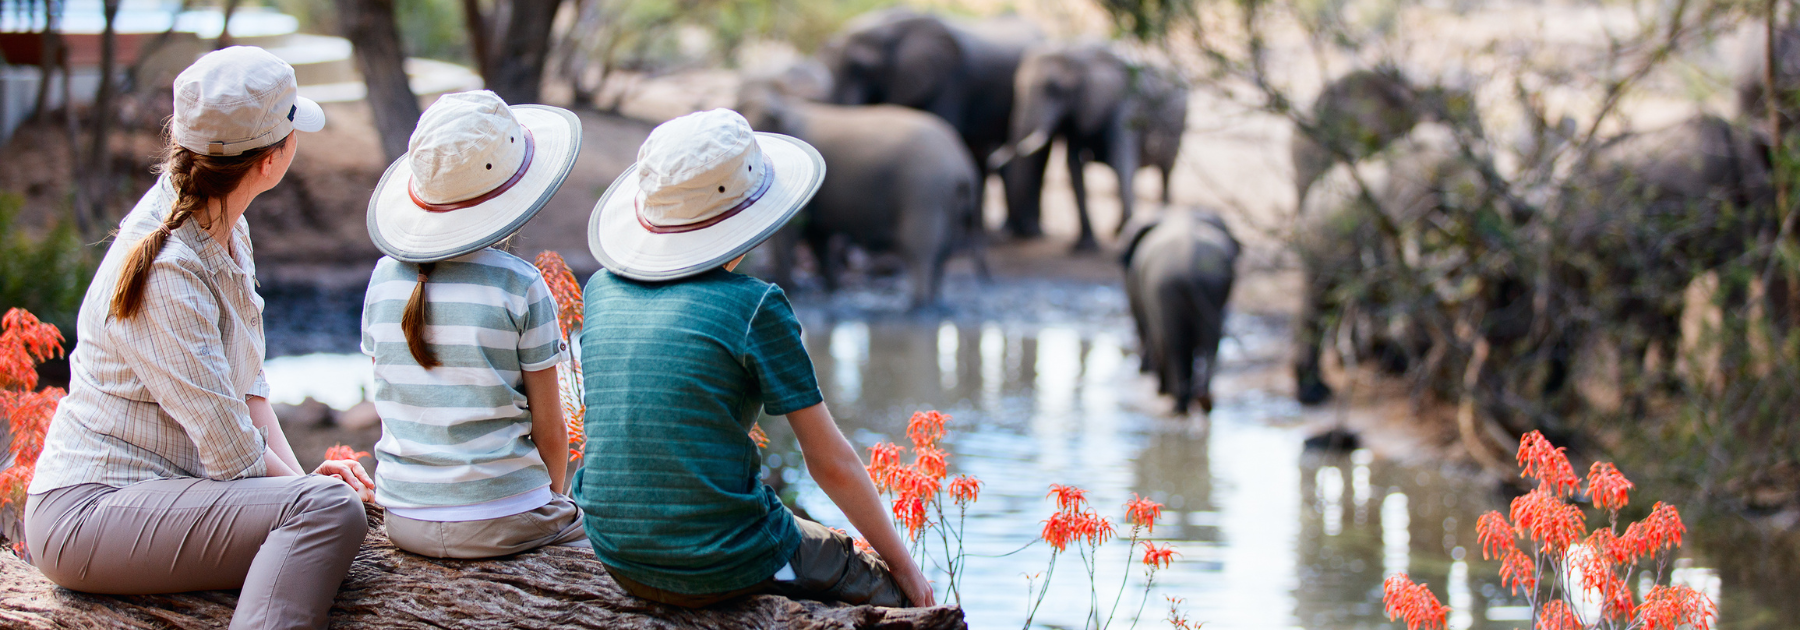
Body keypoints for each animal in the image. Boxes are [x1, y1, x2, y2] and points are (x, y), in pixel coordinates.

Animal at [734, 83, 986, 309]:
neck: (784, 102)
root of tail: (962, 166)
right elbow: (817, 236)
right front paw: (832, 289)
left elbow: (792, 235)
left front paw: (791, 288)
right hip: (948, 199)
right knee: (944, 250)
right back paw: (934, 303)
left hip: (924, 191)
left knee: (920, 248)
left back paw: (918, 306)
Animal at [1008, 43, 1188, 250]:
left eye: (1055, 89)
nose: (1025, 233)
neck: (1077, 55)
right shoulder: (1077, 114)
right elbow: (1074, 168)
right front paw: (1085, 246)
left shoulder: (1125, 106)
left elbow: (1121, 162)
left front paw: (1124, 234)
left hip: (1178, 126)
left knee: (1165, 172)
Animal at [1123, 204, 1238, 415]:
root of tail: (1190, 268)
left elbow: (1153, 332)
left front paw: (1161, 389)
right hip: (1212, 288)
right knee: (1211, 343)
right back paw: (1203, 402)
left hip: (1165, 288)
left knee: (1173, 343)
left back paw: (1179, 404)